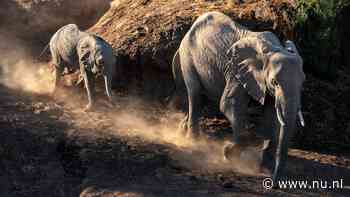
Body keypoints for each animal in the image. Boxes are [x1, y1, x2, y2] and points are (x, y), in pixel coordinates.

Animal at [172, 11, 306, 182]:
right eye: (274, 82)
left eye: (303, 81)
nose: (274, 183)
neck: (272, 49)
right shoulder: (237, 71)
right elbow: (229, 104)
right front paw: (227, 153)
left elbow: (271, 115)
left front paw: (265, 168)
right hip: (188, 57)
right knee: (196, 96)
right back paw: (194, 142)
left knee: (202, 99)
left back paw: (181, 130)